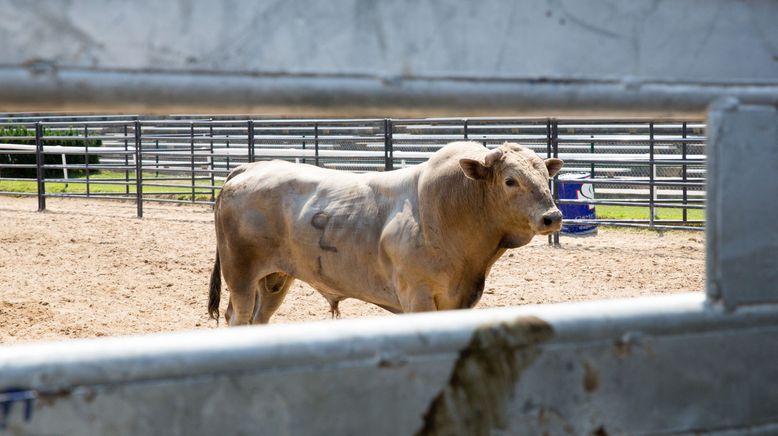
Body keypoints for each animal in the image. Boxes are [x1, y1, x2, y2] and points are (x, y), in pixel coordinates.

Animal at [209, 141, 560, 326]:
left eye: (545, 176)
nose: (552, 217)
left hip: (275, 279)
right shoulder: (417, 297)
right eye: (510, 180)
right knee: (238, 316)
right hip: (240, 275)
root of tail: (249, 168)